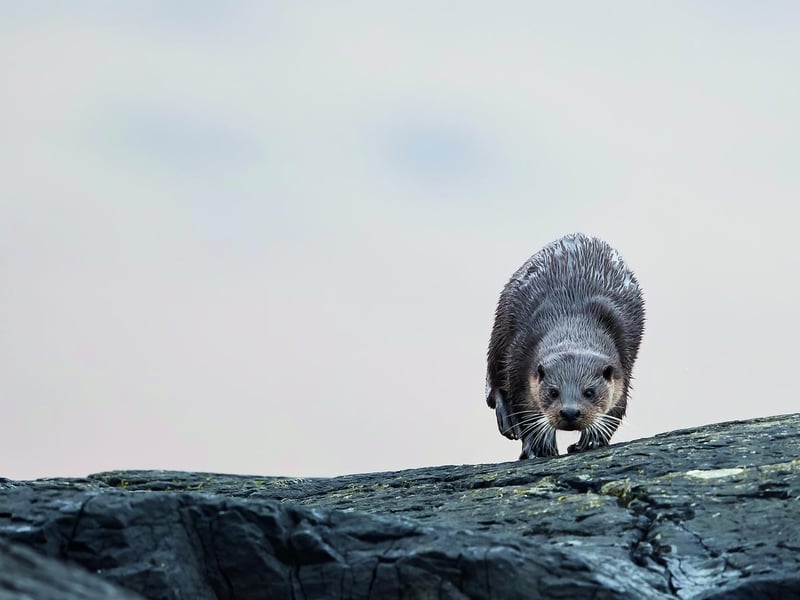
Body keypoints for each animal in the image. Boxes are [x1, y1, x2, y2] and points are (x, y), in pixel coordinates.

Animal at [485, 233, 645, 459]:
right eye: (553, 392)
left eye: (589, 392)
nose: (569, 411)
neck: (574, 324)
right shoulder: (519, 356)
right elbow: (524, 407)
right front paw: (538, 447)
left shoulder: (624, 364)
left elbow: (617, 407)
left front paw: (592, 440)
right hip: (501, 325)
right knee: (494, 375)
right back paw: (506, 420)